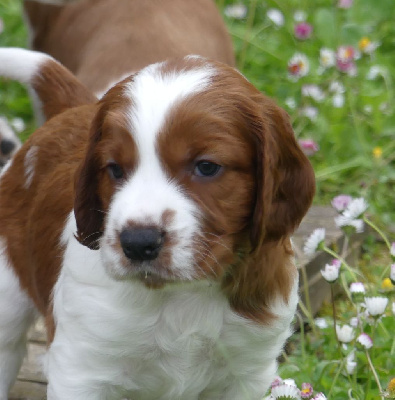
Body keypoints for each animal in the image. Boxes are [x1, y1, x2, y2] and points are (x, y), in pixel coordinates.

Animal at [0, 49, 316, 400]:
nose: (138, 243)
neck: (182, 294)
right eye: (114, 169)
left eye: (207, 167)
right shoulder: (83, 368)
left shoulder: (247, 371)